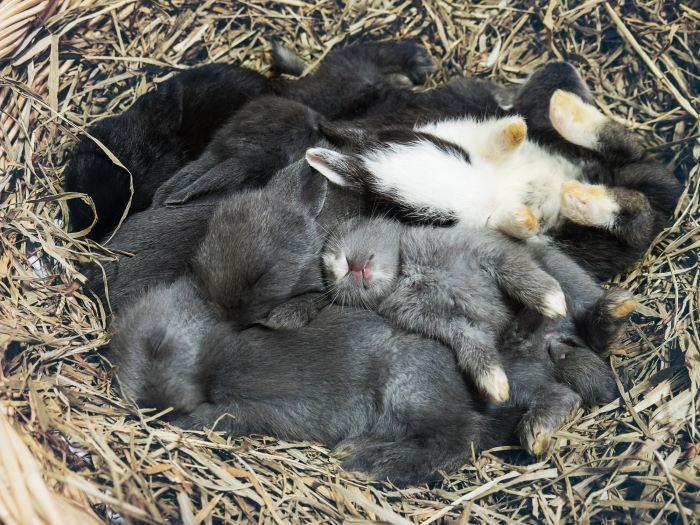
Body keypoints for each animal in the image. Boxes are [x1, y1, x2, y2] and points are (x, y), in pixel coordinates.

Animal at [322, 216, 568, 402]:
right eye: (328, 274)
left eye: (352, 226)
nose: (340, 266)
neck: (403, 272)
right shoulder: (452, 324)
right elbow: (474, 347)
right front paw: (495, 385)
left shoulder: (486, 251)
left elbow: (518, 273)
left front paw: (553, 301)